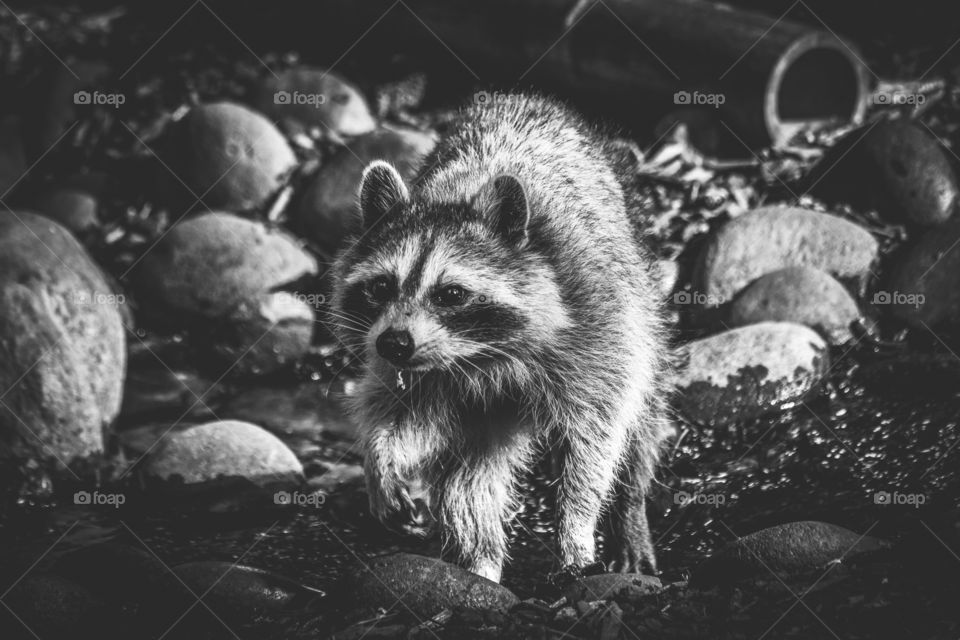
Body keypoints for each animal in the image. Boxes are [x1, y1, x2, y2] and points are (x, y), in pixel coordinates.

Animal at [334, 95, 672, 584]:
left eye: (451, 294)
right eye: (381, 286)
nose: (394, 344)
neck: (483, 355)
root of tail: (525, 98)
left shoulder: (599, 320)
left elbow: (598, 429)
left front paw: (578, 519)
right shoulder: (427, 373)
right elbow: (399, 413)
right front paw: (379, 460)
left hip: (641, 294)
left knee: (643, 417)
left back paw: (629, 512)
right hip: (485, 416)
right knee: (468, 482)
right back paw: (481, 563)